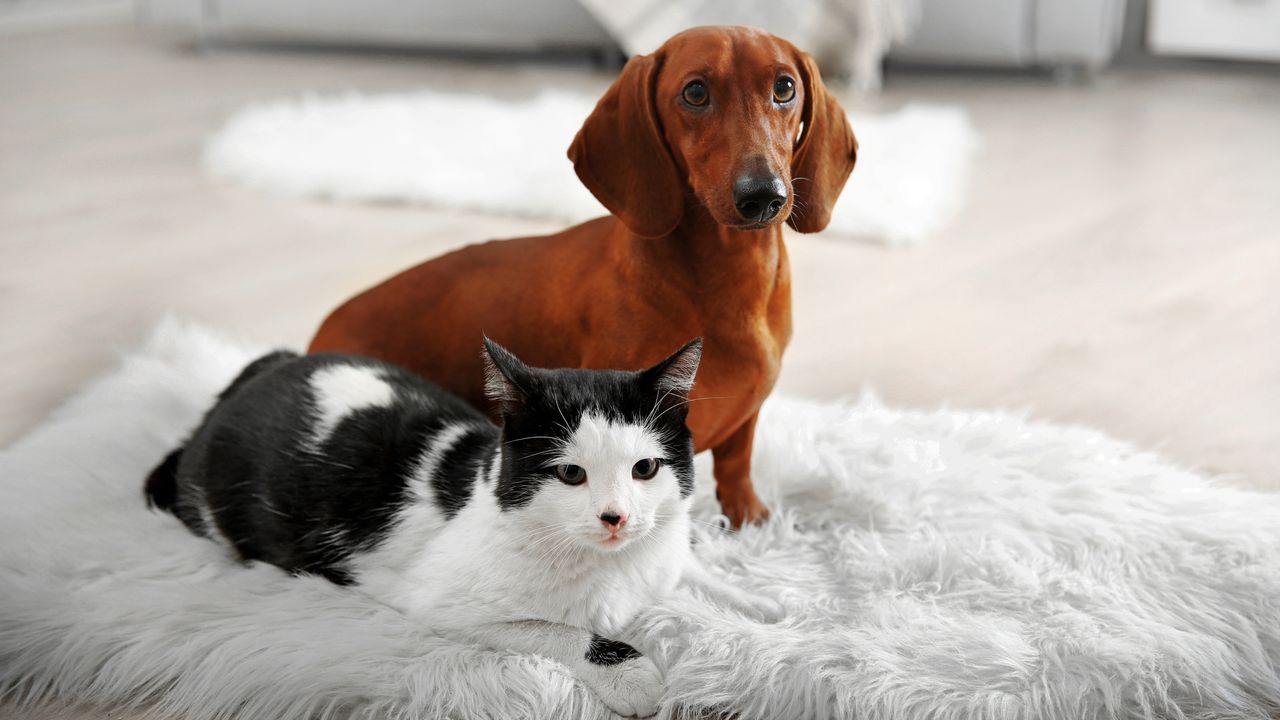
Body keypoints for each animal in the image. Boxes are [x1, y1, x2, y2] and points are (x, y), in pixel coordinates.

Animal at [147, 335, 768, 712]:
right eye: (571, 473)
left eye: (645, 468)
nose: (617, 517)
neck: (615, 564)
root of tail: (262, 367)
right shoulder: (444, 604)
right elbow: (560, 630)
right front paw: (632, 674)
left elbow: (686, 568)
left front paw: (757, 602)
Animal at [307, 26, 860, 527]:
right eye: (695, 92)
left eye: (784, 87)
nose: (763, 195)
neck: (728, 280)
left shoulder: (744, 421)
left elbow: (736, 464)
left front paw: (750, 519)